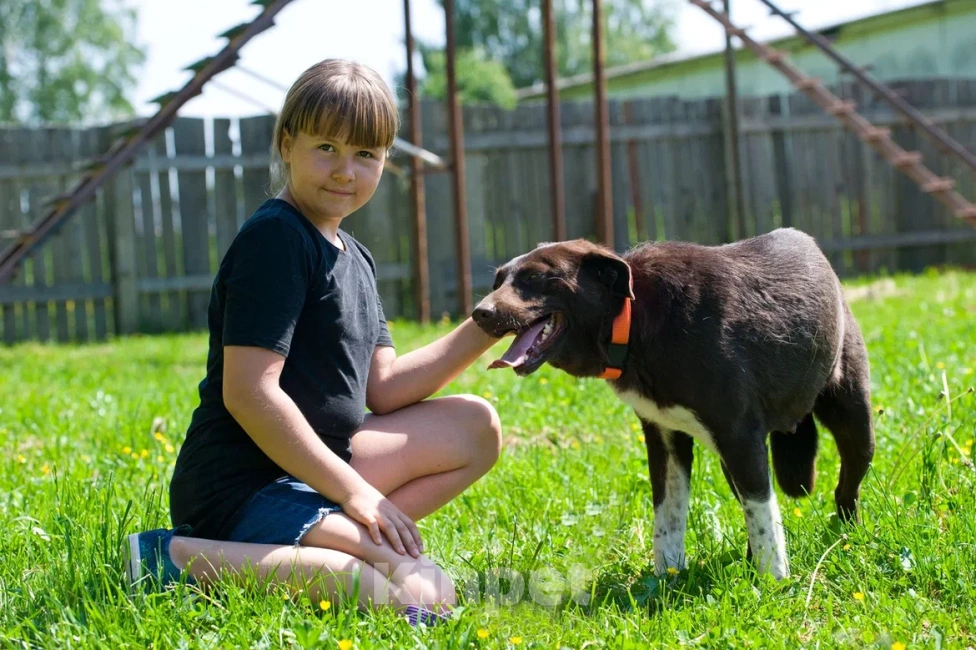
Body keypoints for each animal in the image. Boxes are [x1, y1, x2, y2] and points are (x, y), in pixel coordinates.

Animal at [472, 229, 876, 576]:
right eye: (498, 282)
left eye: (536, 277)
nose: (479, 314)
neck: (633, 319)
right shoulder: (665, 437)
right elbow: (668, 516)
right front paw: (667, 576)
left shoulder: (740, 437)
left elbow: (763, 518)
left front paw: (775, 580)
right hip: (734, 461)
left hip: (853, 420)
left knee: (845, 488)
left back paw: (846, 537)